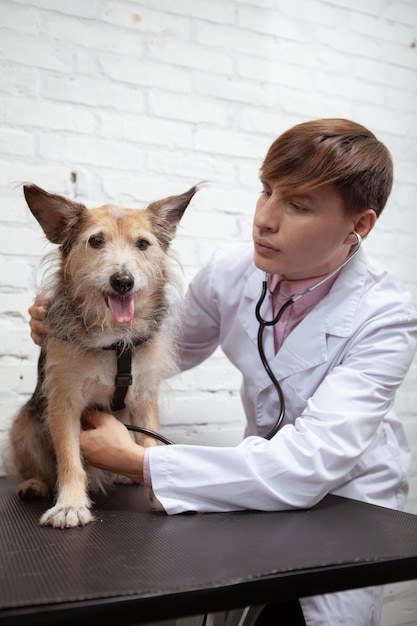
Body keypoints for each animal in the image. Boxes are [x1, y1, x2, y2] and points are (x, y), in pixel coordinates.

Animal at [4, 182, 197, 528]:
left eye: (142, 244)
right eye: (95, 241)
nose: (123, 281)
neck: (114, 340)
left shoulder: (144, 398)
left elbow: (149, 444)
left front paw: (159, 494)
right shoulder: (63, 404)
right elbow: (69, 459)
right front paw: (70, 504)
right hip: (22, 426)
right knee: (39, 467)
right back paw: (34, 484)